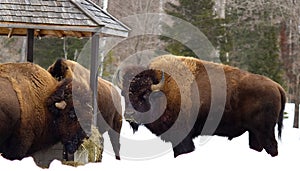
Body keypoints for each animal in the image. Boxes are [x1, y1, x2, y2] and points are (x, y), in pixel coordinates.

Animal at [115, 54, 286, 158]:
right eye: (124, 94)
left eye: (144, 94)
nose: (129, 115)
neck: (164, 91)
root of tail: (277, 86)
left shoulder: (182, 137)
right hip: (254, 133)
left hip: (264, 131)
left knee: (272, 147)